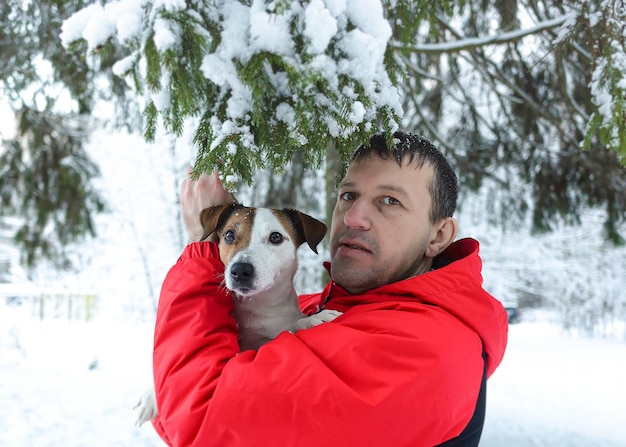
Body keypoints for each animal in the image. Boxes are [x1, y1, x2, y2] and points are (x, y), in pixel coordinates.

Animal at [134, 205, 342, 426]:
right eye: (229, 235)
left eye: (275, 237)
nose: (241, 270)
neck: (254, 307)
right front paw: (150, 397)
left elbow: (286, 328)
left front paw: (312, 319)